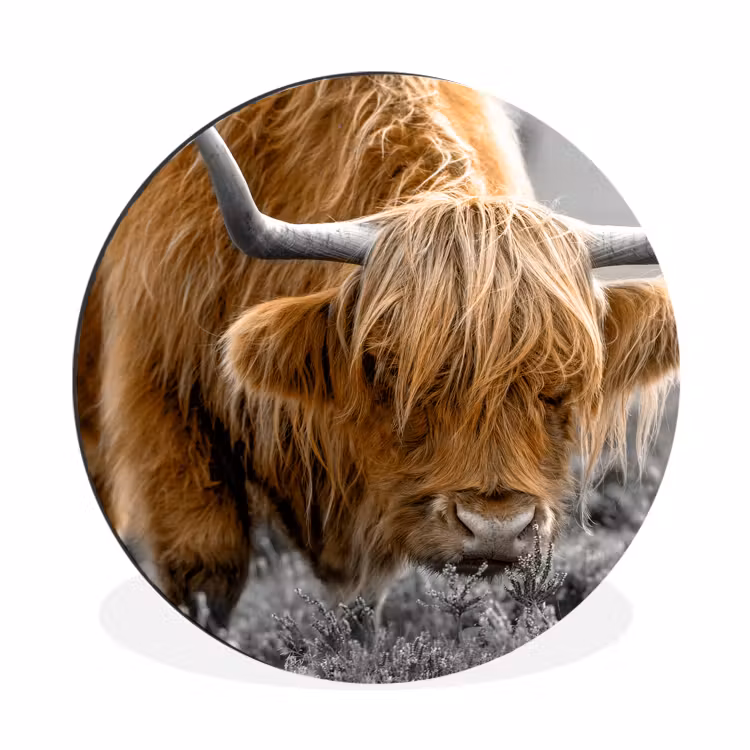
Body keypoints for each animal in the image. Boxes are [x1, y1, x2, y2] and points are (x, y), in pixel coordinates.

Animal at [75, 74, 678, 635]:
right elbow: (206, 568)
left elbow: (365, 605)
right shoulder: (162, 396)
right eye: (390, 370)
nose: (495, 528)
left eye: (562, 384)